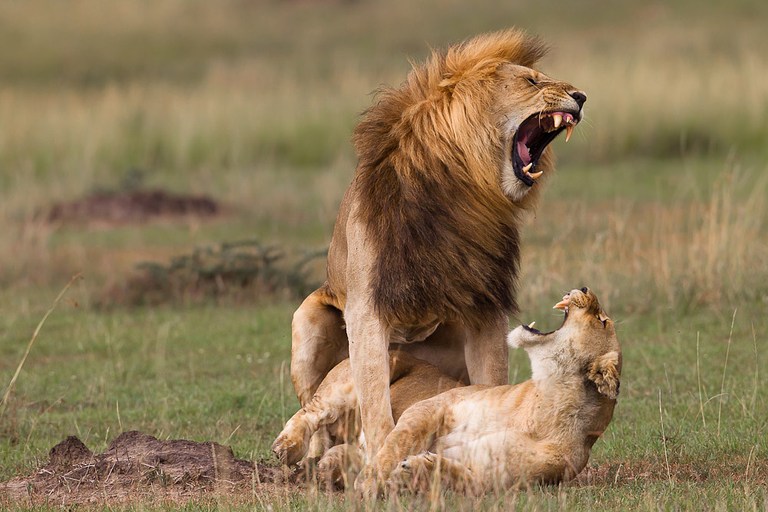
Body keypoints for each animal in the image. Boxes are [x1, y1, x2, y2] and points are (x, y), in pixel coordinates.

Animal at [290, 29, 588, 468]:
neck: (461, 189)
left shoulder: (485, 306)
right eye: (531, 81)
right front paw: (381, 455)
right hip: (307, 323)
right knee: (316, 410)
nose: (581, 96)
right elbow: (374, 399)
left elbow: (490, 380)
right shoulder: (367, 308)